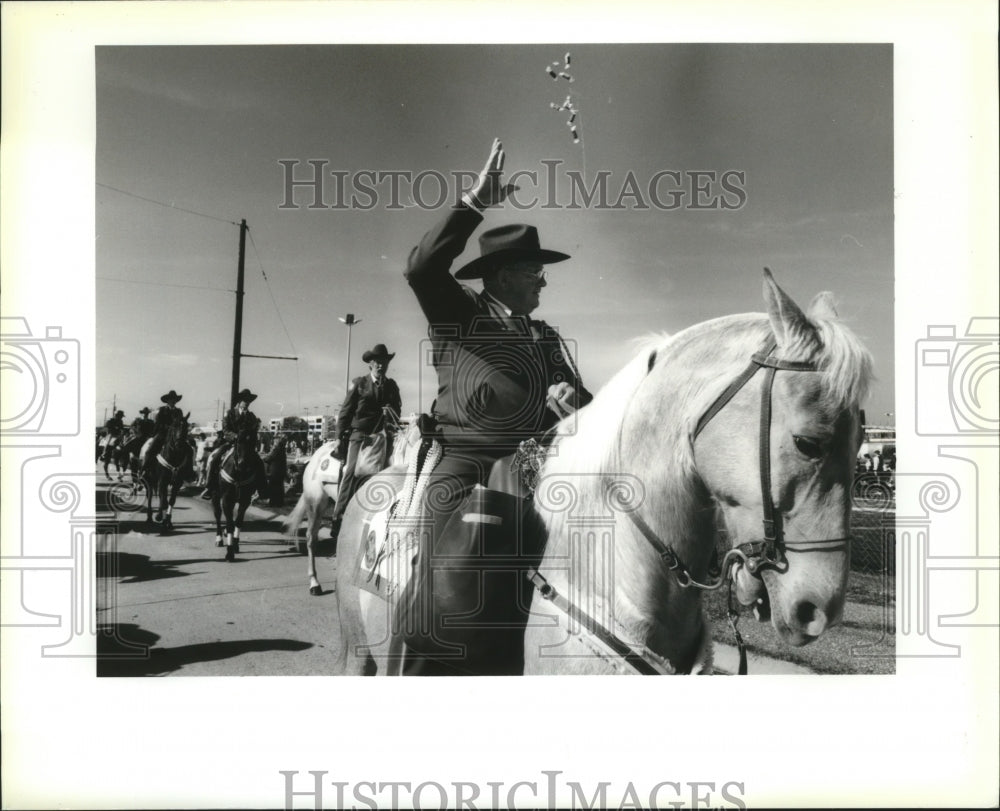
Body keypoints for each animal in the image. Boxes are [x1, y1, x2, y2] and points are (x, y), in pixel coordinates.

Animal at [211, 428, 262, 560]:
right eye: (238, 441)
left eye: (253, 443)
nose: (242, 463)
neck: (239, 473)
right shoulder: (226, 500)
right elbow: (229, 524)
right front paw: (229, 552)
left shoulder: (245, 500)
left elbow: (238, 522)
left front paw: (235, 544)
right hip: (215, 495)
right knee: (217, 515)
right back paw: (219, 538)